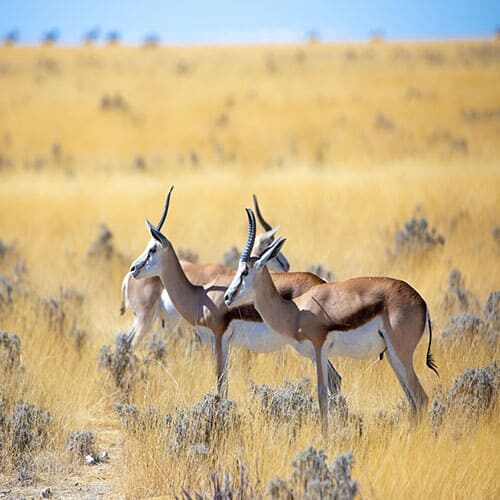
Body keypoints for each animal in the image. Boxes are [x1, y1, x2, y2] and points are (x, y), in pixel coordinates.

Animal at [223, 209, 438, 436]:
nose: (227, 297)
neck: (296, 311)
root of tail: (421, 301)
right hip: (392, 356)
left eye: (245, 272)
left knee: (421, 398)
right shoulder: (315, 355)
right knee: (412, 400)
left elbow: (321, 395)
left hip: (401, 354)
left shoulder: (319, 350)